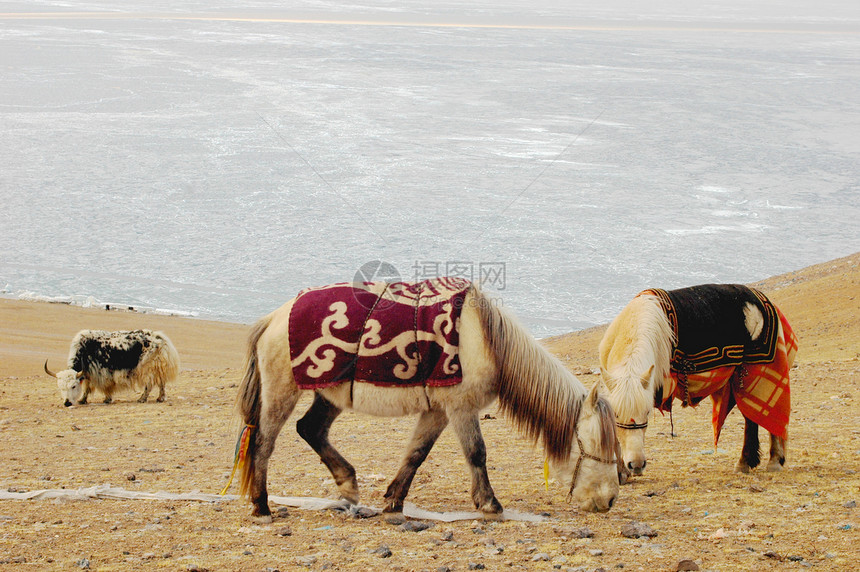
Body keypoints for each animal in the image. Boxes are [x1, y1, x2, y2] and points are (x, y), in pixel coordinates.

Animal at [230, 278, 620, 524]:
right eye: (593, 444)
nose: (609, 501)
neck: (485, 339)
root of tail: (274, 318)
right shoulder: (461, 408)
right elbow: (476, 453)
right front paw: (490, 505)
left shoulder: (438, 411)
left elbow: (416, 453)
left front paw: (393, 501)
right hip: (282, 391)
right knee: (264, 442)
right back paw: (262, 507)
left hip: (330, 394)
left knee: (310, 429)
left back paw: (348, 485)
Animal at [600, 284, 796, 476]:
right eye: (616, 413)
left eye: (647, 412)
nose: (637, 465)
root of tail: (764, 299)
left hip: (759, 372)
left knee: (759, 417)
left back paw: (768, 461)